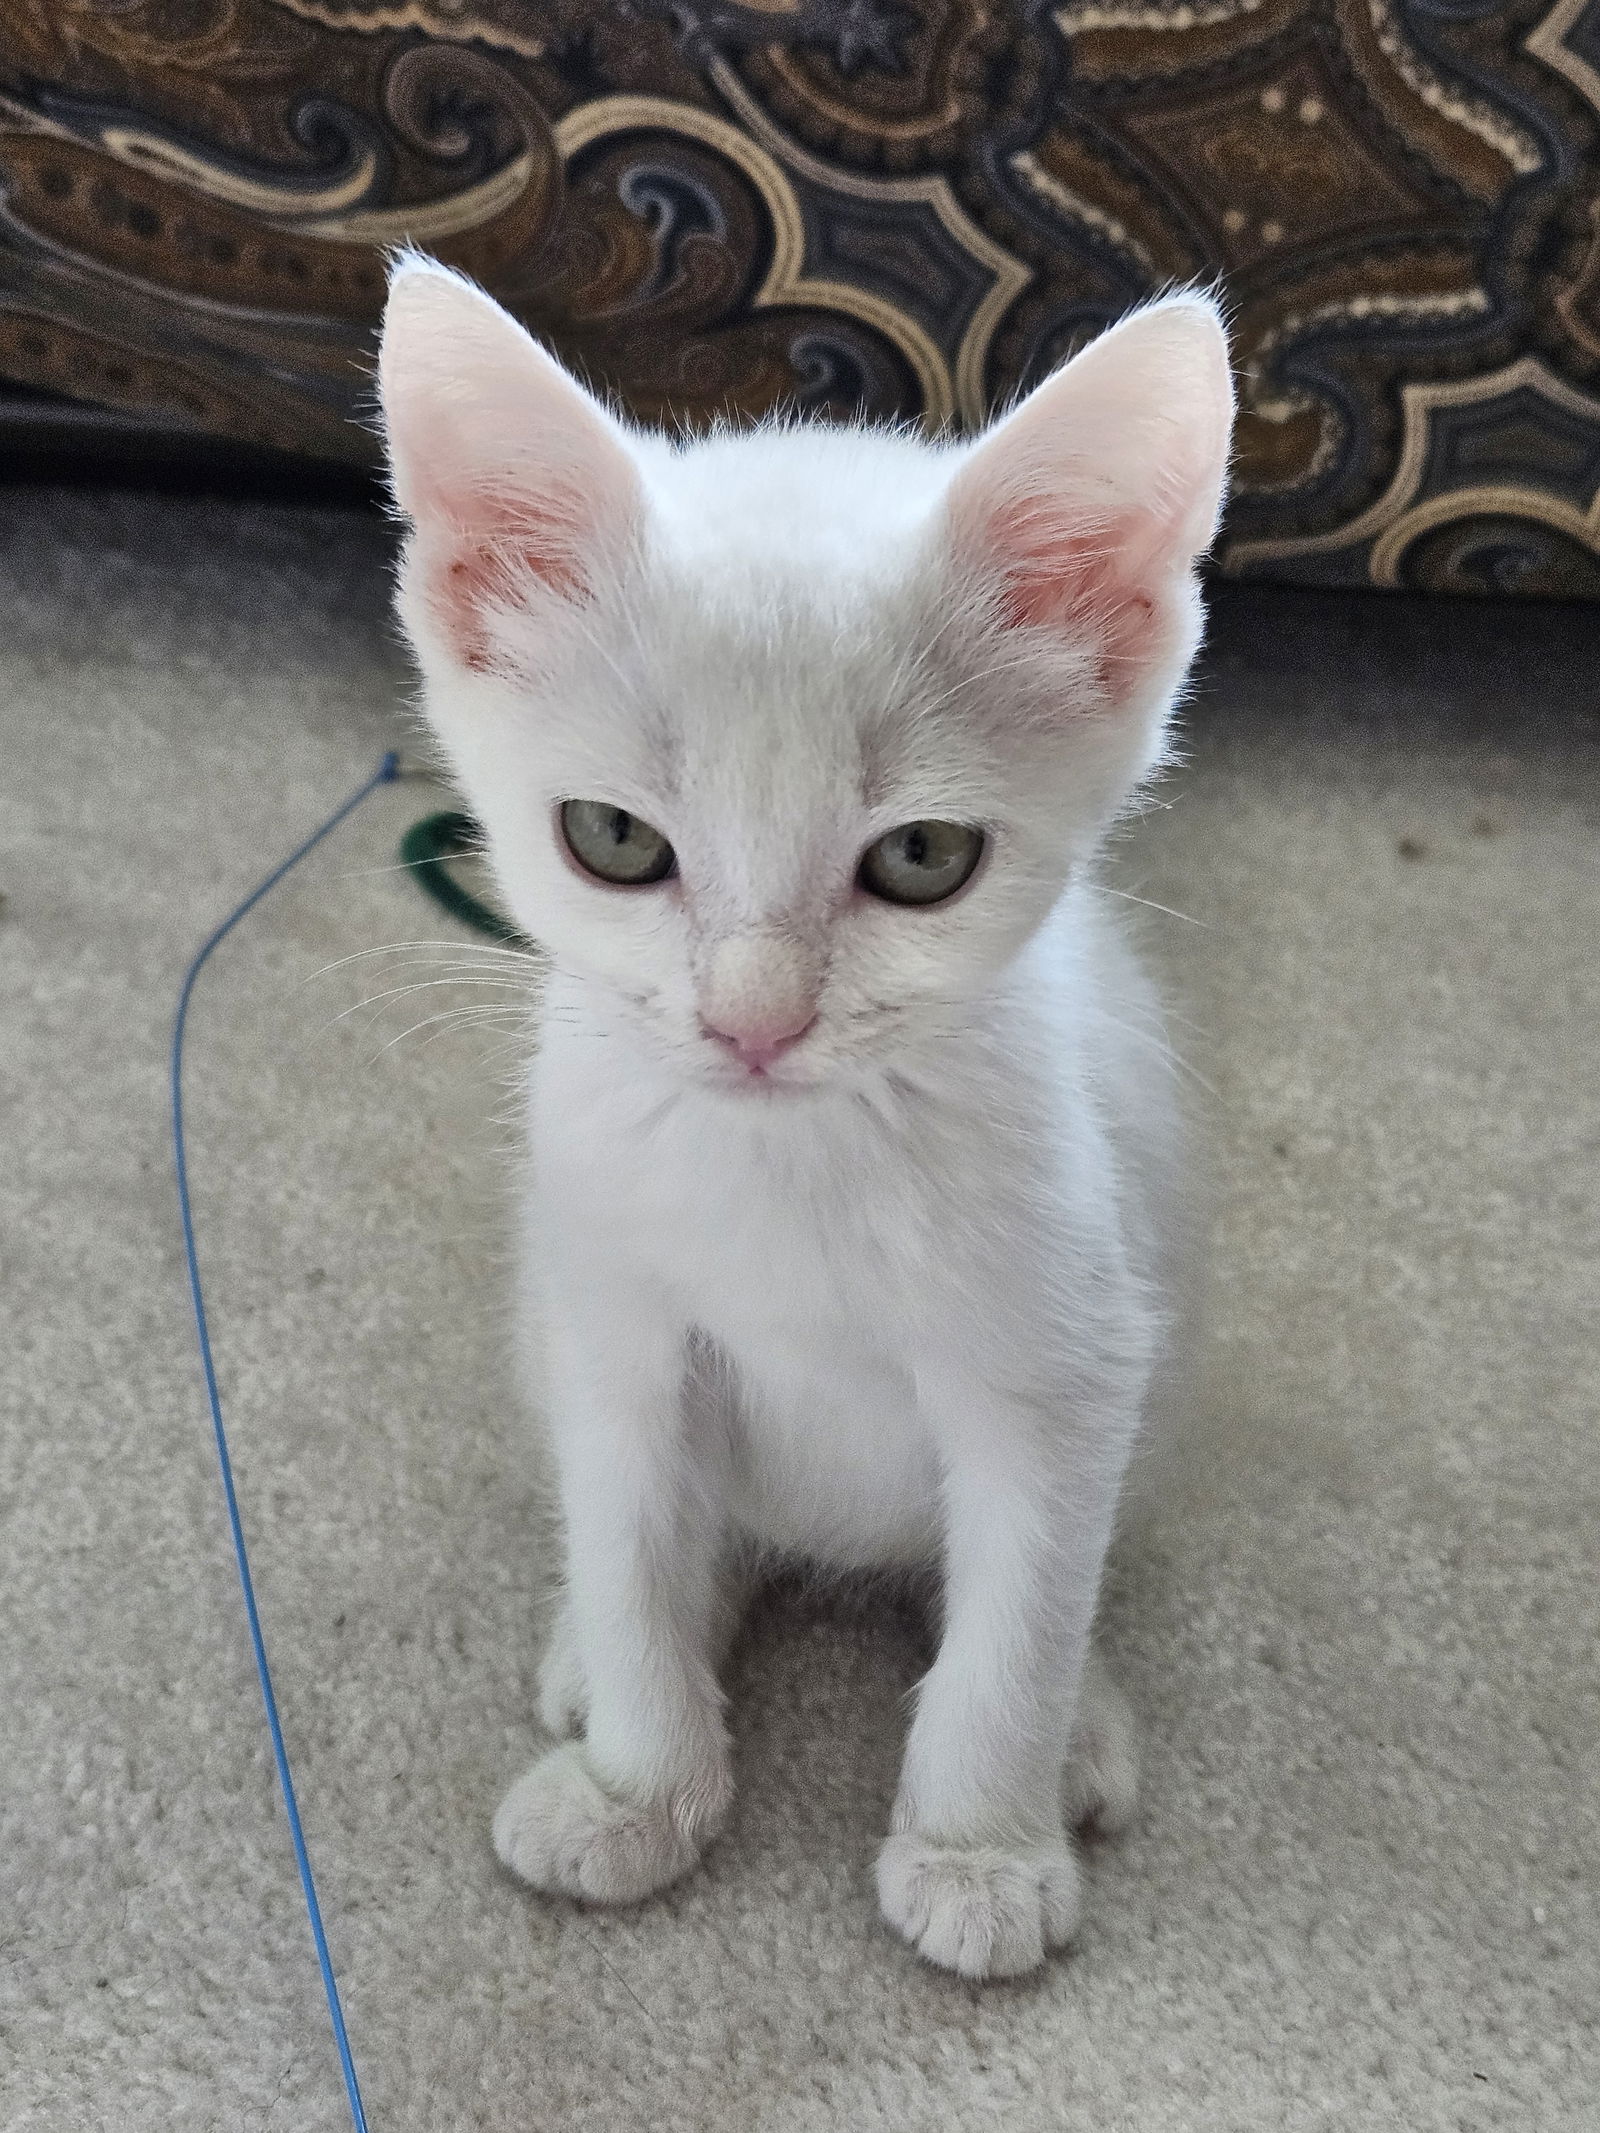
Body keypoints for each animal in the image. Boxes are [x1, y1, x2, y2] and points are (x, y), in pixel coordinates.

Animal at [381, 262, 1237, 1979]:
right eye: (611, 838)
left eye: (920, 859)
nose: (753, 1021)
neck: (793, 1160)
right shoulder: (619, 1328)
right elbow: (636, 1537)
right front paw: (641, 1785)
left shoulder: (1063, 1362)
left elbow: (1021, 1613)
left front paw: (980, 1844)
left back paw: (1079, 1728)